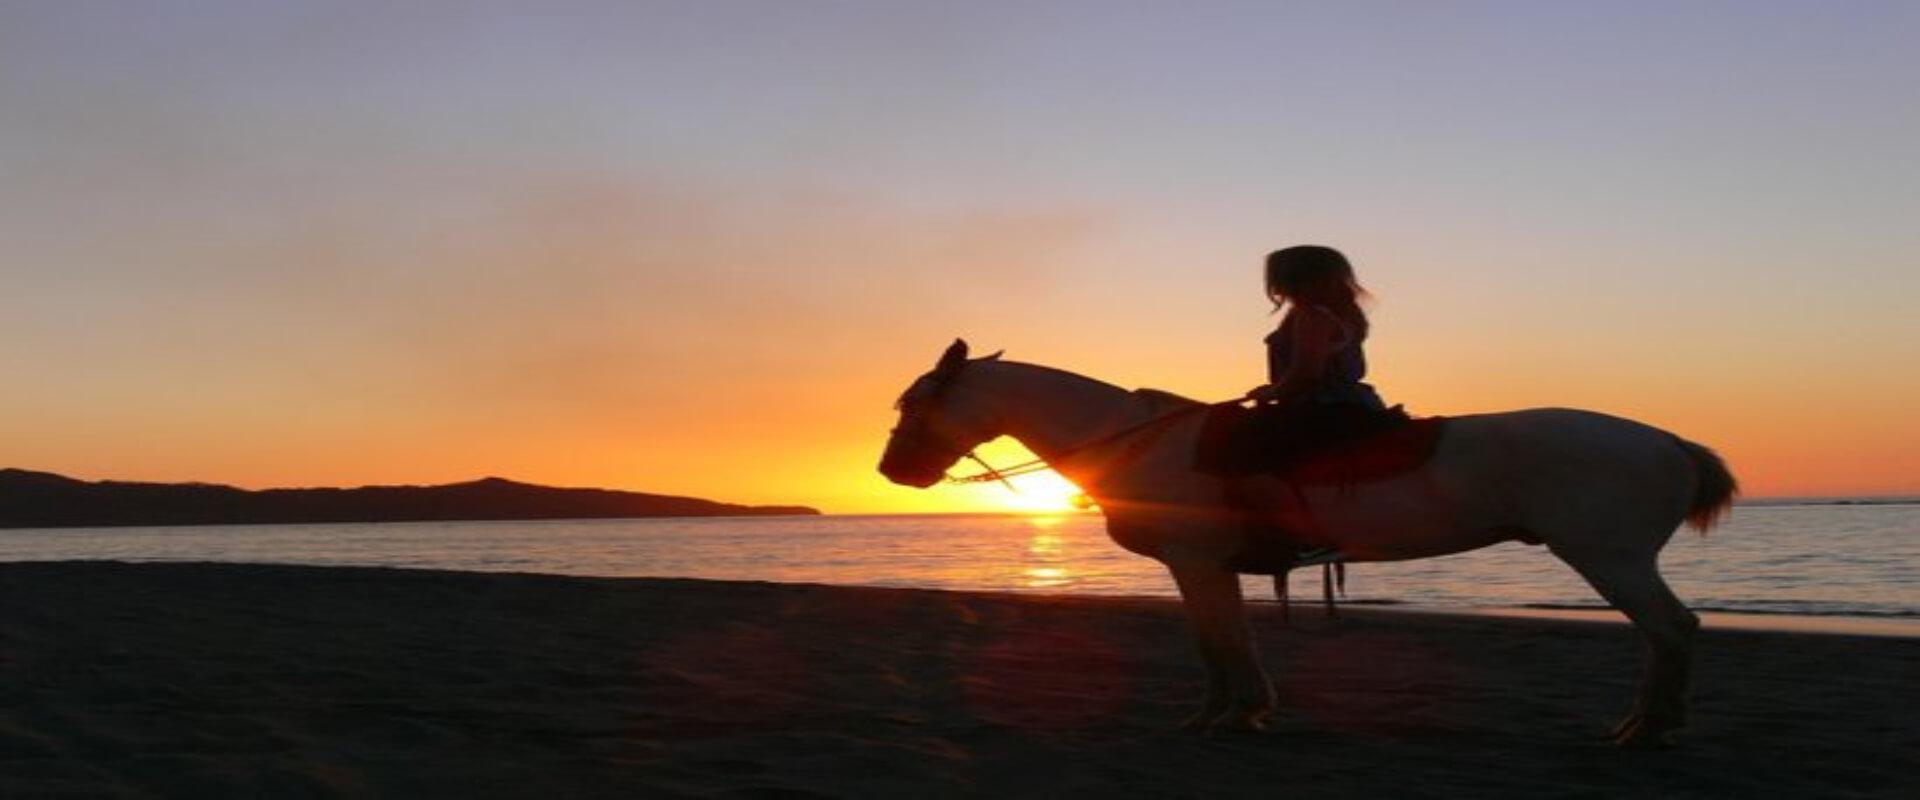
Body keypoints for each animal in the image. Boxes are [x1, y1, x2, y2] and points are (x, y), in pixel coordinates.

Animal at [883, 339, 1743, 744]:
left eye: (916, 402)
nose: (893, 471)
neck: (1137, 444)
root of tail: (1668, 442)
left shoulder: (1196, 563)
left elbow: (1218, 642)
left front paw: (1228, 717)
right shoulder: (1211, 567)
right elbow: (1221, 642)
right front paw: (1236, 714)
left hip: (1608, 557)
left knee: (1670, 630)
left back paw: (1649, 729)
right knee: (1666, 633)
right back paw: (1643, 726)